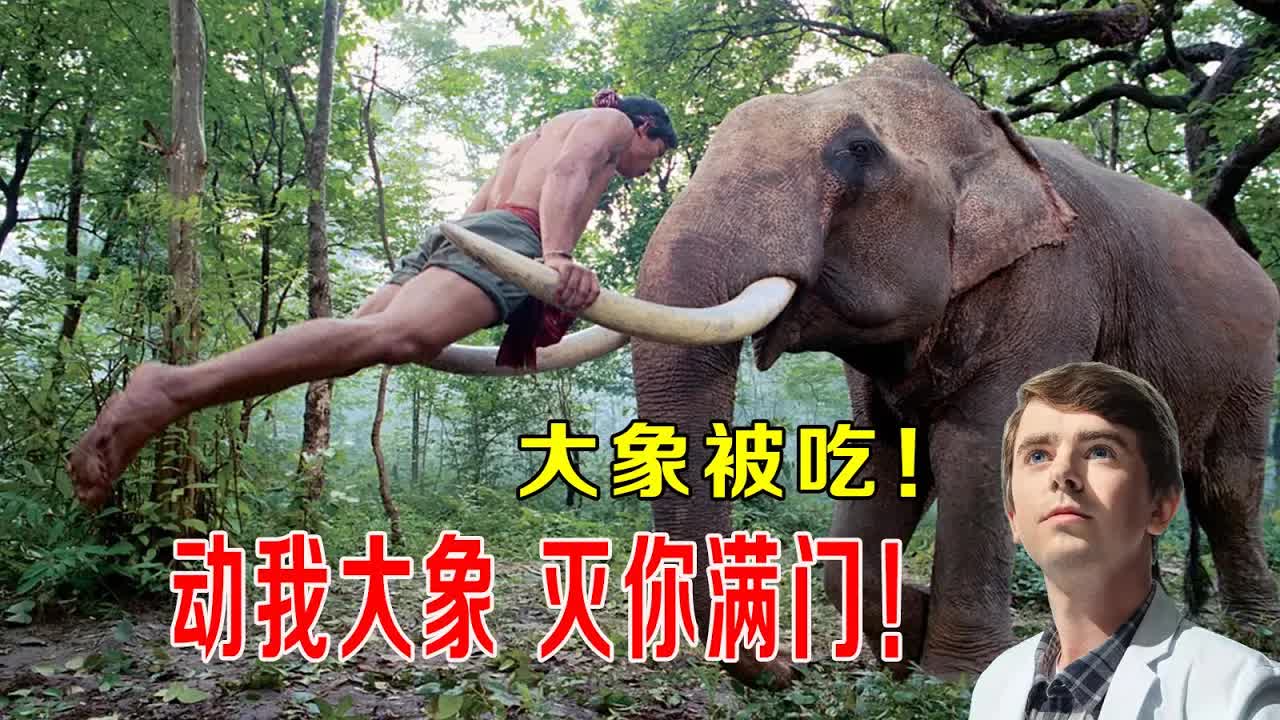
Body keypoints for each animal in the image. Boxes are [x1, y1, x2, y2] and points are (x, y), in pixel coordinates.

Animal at [436, 53, 1280, 686]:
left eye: (856, 153)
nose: (783, 671)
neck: (981, 129)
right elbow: (884, 461)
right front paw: (904, 637)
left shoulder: (1053, 284)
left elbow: (979, 449)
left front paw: (957, 677)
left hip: (1250, 362)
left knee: (1226, 484)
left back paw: (1250, 635)